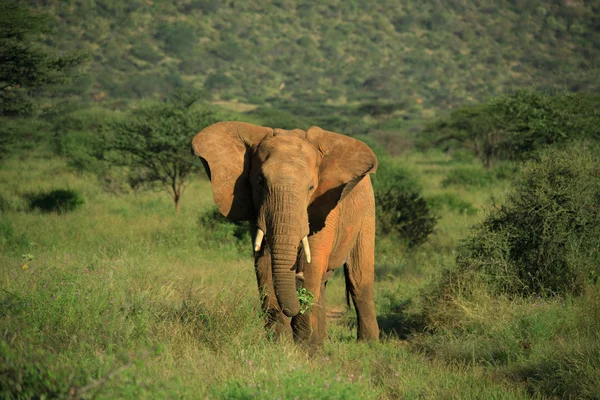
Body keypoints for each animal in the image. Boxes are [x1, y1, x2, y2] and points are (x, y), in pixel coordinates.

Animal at [192, 122, 380, 346]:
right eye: (259, 181)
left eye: (311, 187)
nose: (296, 277)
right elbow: (264, 265)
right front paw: (281, 345)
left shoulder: (325, 207)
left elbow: (312, 263)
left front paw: (305, 347)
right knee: (324, 283)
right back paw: (322, 340)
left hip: (367, 209)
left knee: (359, 279)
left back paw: (367, 344)